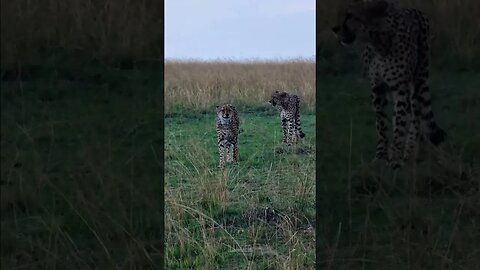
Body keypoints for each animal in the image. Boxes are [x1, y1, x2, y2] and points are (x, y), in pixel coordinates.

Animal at [330, 0, 446, 169]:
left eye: (350, 15)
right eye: (339, 13)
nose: (334, 29)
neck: (378, 41)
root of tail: (415, 10)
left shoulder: (400, 88)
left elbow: (400, 125)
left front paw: (396, 158)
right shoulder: (377, 88)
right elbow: (382, 126)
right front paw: (381, 157)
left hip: (419, 80)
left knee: (415, 116)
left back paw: (409, 152)